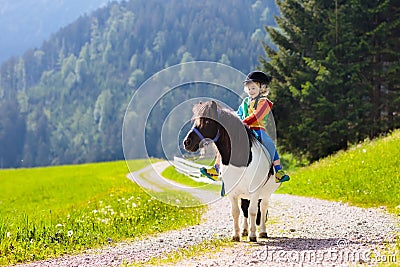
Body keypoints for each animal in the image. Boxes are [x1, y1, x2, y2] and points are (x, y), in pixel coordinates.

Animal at [183, 101, 280, 243]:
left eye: (207, 121)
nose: (187, 142)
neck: (241, 161)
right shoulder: (232, 192)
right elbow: (236, 212)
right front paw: (236, 235)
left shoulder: (255, 191)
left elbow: (253, 211)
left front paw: (253, 235)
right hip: (245, 195)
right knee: (245, 209)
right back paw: (245, 230)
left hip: (266, 194)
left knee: (262, 208)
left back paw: (262, 231)